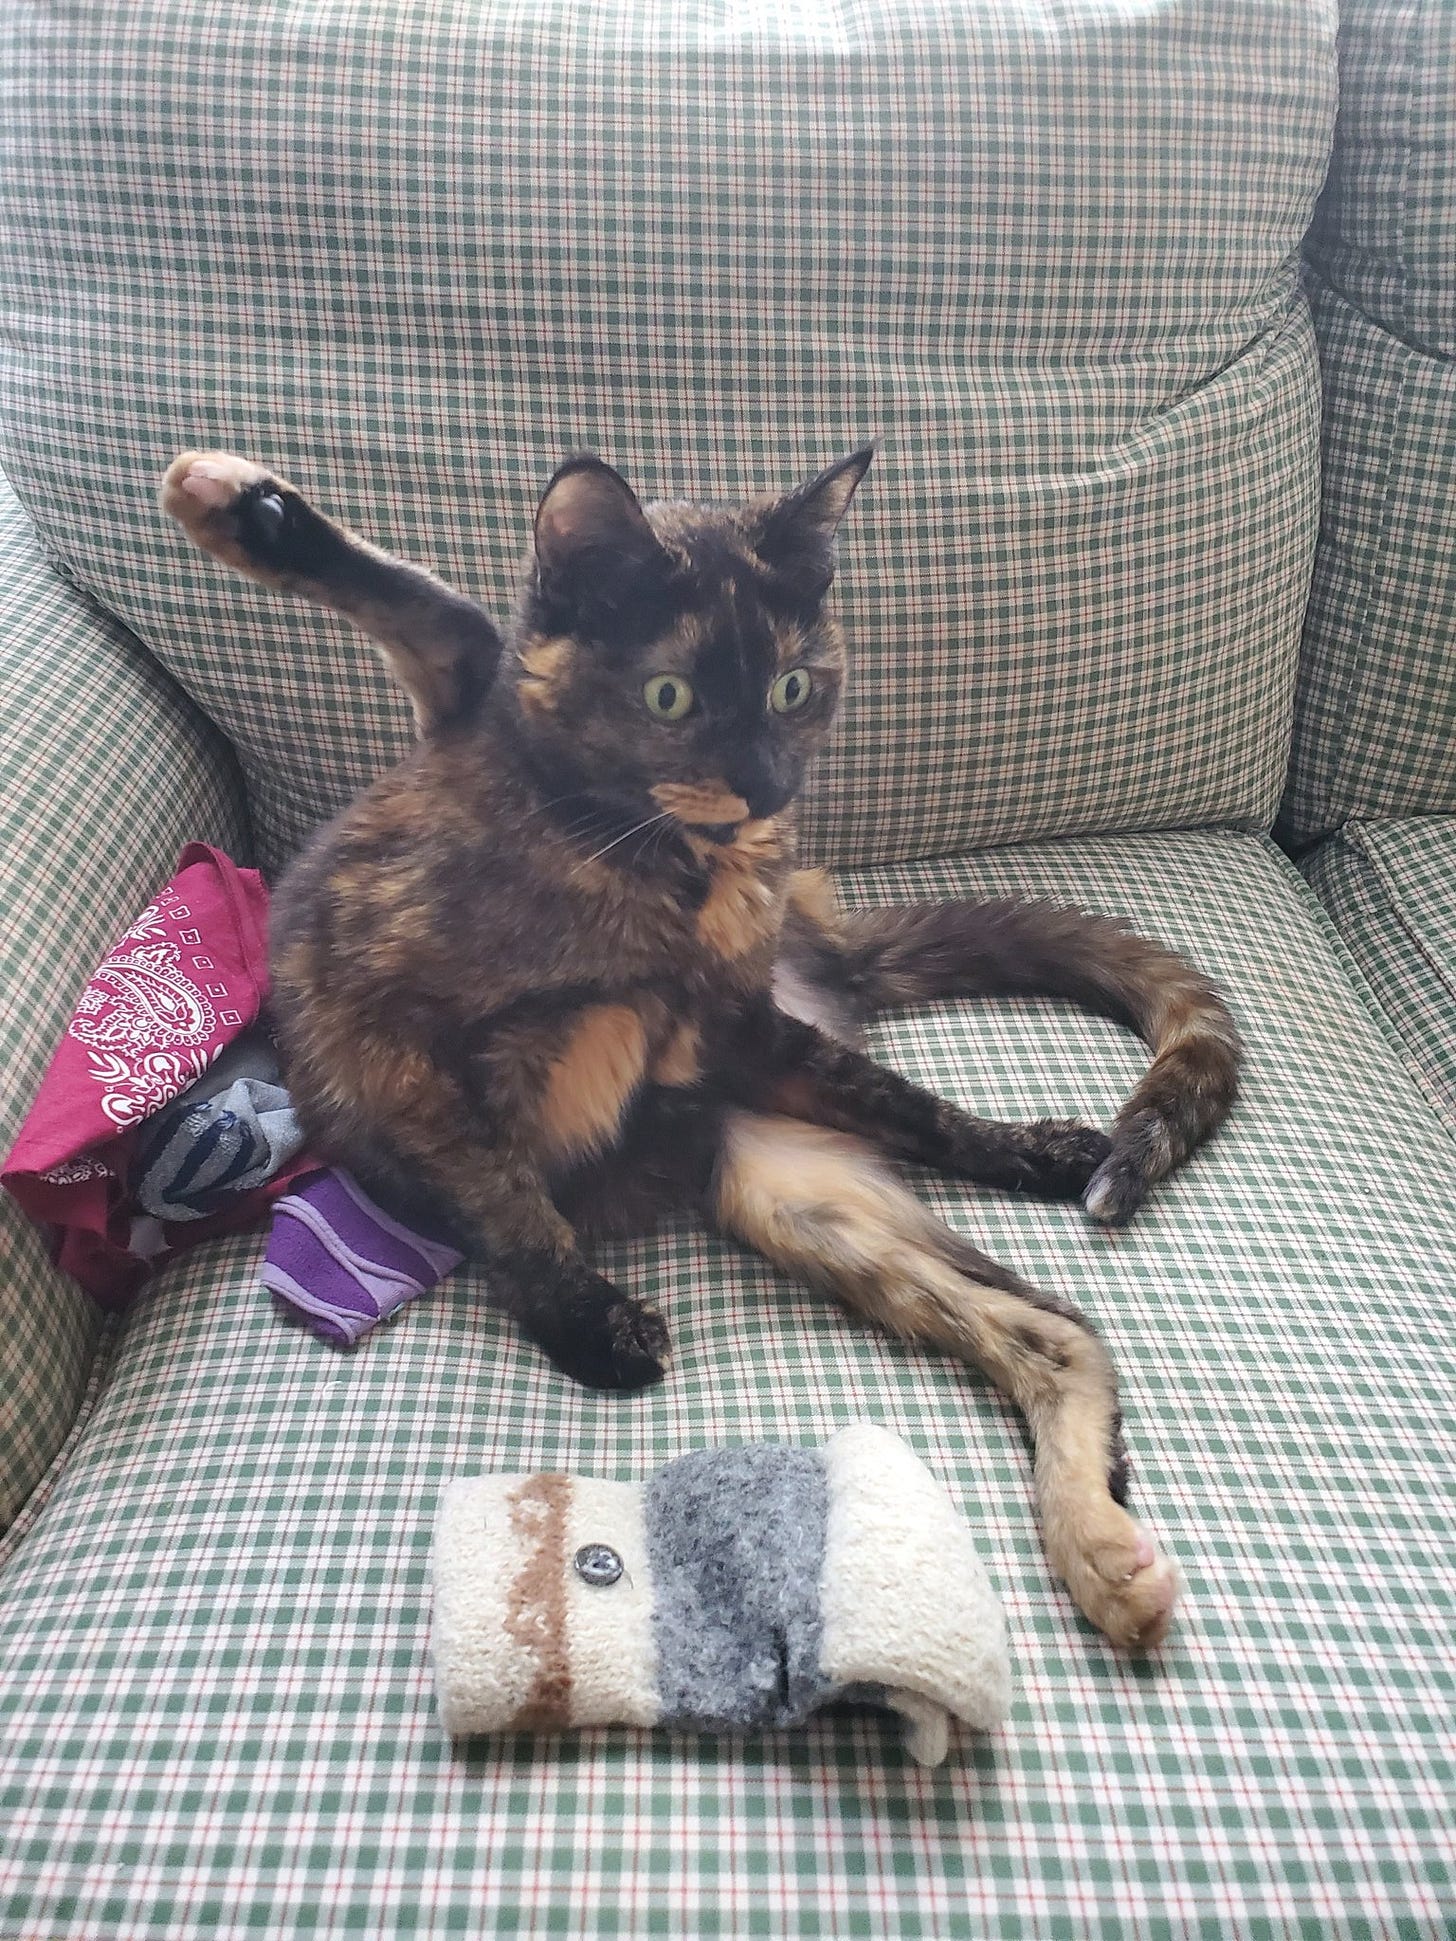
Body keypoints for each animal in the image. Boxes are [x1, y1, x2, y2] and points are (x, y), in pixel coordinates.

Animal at [159, 436, 1234, 1638]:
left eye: (791, 687)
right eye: (668, 695)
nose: (766, 784)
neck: (642, 855)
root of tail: (818, 961)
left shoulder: (682, 970)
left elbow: (443, 612)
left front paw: (250, 511)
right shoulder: (387, 1025)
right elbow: (498, 1188)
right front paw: (586, 1320)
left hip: (790, 1106)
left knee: (971, 1192)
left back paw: (1045, 1191)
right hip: (796, 1193)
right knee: (1053, 1330)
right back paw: (1103, 1545)